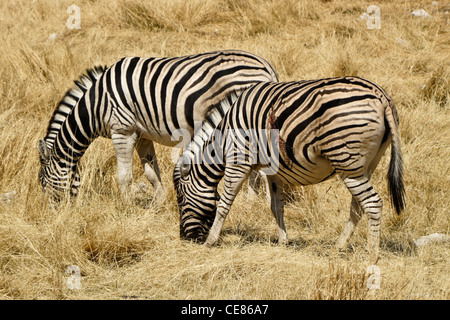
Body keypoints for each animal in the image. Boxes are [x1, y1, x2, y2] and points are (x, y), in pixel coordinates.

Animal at [38, 50, 278, 200]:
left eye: (42, 181)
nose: (50, 213)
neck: (96, 104)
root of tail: (267, 66)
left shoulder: (122, 130)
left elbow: (124, 176)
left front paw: (126, 206)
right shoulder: (142, 134)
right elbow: (152, 172)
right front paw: (161, 202)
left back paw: (252, 201)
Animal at [174, 77, 406, 262]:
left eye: (181, 199)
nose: (184, 238)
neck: (223, 141)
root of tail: (381, 96)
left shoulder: (239, 160)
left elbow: (224, 203)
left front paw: (211, 241)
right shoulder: (273, 171)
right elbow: (276, 207)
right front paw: (283, 240)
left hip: (347, 162)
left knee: (372, 203)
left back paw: (372, 254)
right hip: (366, 165)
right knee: (358, 206)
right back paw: (339, 246)